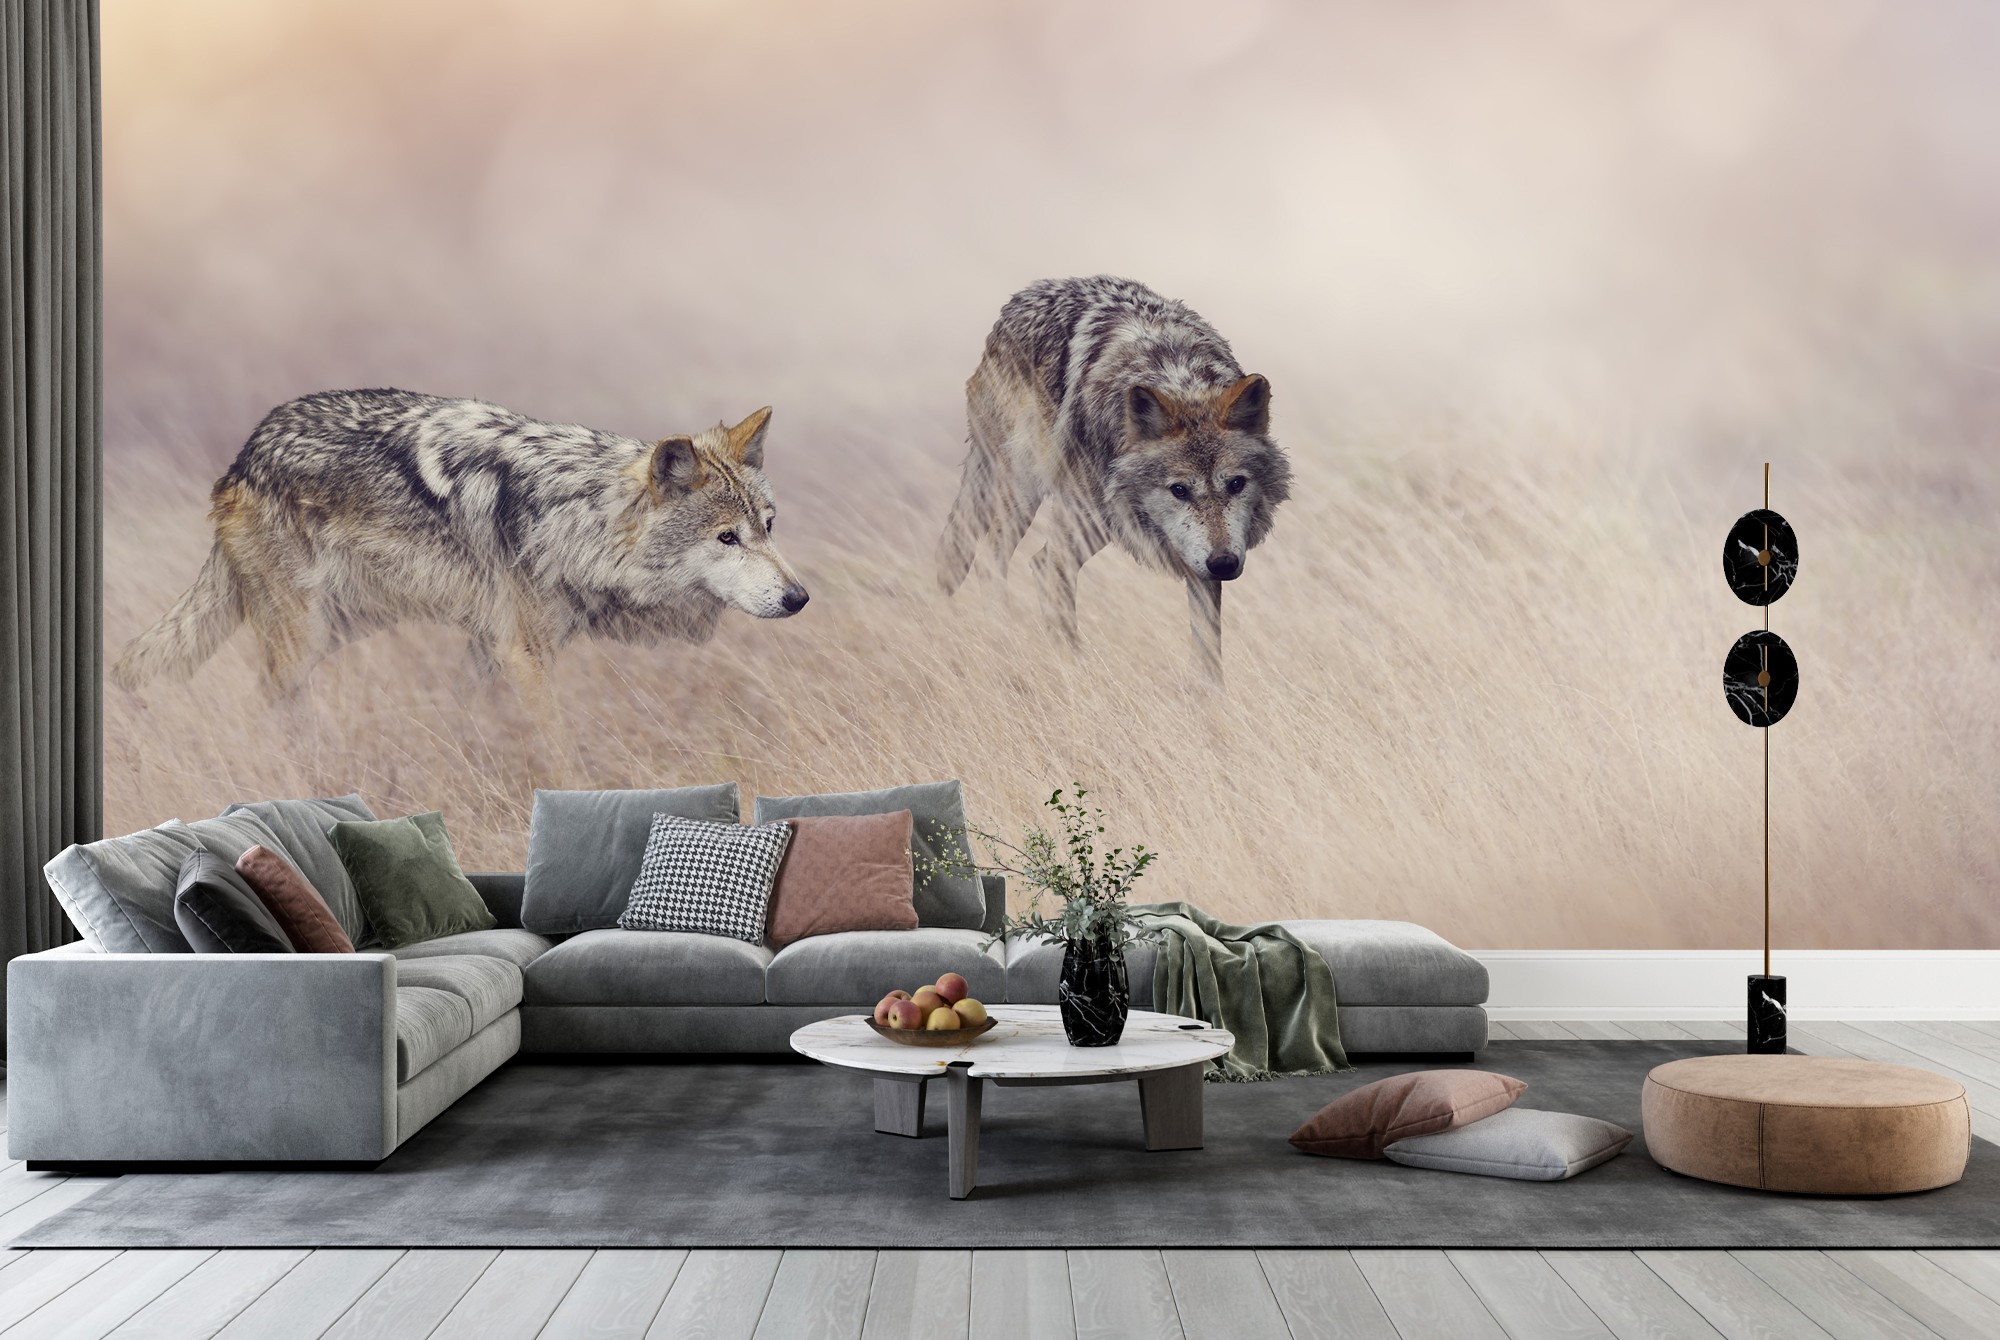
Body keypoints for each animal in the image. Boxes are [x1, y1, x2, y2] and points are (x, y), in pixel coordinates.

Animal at [113, 389, 809, 722]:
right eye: (726, 538)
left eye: (769, 527)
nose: (799, 598)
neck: (576, 519)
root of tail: (244, 455)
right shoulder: (524, 654)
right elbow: (556, 753)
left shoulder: (489, 648)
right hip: (302, 639)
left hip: (339, 628)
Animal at [935, 276, 1291, 679]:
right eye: (1179, 490)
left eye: (1236, 484)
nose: (1225, 564)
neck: (1176, 377)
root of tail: (1018, 300)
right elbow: (1059, 608)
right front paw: (1072, 671)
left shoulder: (1199, 562)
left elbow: (1208, 650)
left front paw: (1209, 697)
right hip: (1034, 496)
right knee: (992, 558)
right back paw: (1002, 640)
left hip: (1094, 524)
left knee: (1021, 560)